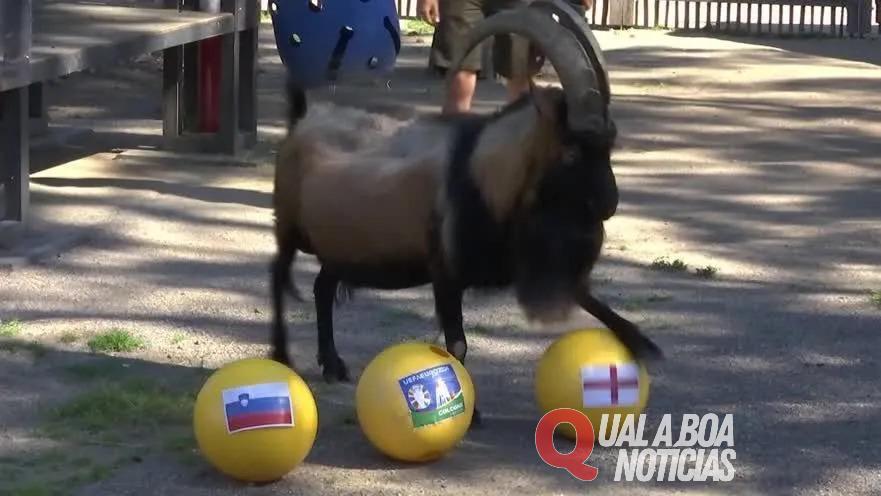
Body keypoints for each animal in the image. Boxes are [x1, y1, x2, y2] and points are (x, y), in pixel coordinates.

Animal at [270, 0, 663, 423]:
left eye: (610, 145)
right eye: (572, 151)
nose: (609, 203)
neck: (480, 173)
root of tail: (300, 121)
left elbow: (587, 295)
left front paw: (644, 345)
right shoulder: (445, 271)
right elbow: (457, 344)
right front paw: (469, 413)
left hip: (340, 246)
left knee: (322, 286)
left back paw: (332, 364)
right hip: (289, 225)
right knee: (278, 274)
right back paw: (283, 356)